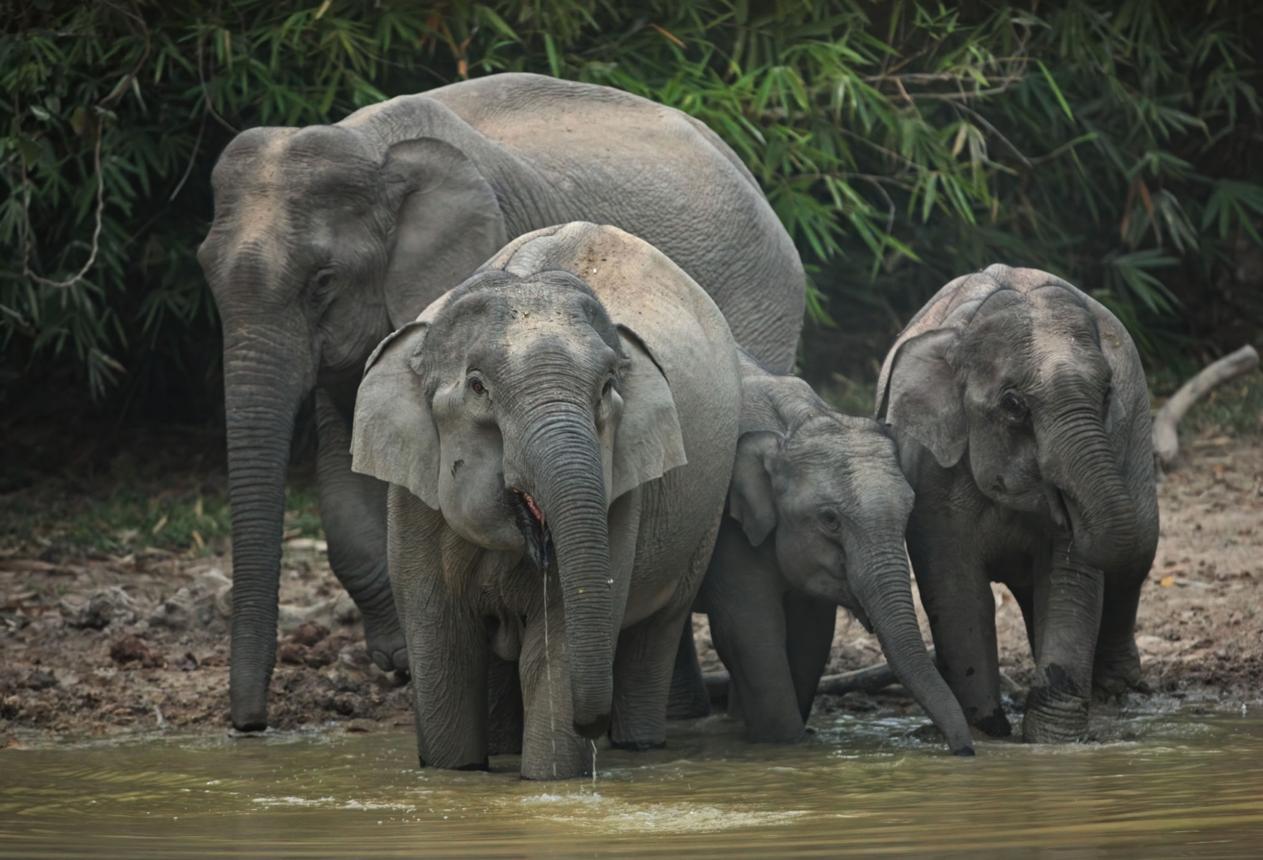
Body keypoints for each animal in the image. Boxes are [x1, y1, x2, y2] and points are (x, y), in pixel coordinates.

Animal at [349, 222, 741, 779]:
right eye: (477, 387)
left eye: (607, 389)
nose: (589, 724)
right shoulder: (411, 498)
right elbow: (442, 639)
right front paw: (455, 774)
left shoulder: (622, 492)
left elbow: (552, 645)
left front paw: (552, 777)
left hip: (704, 516)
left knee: (657, 632)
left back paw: (637, 745)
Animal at [694, 352, 974, 754]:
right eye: (829, 519)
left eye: (909, 510)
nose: (965, 751)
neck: (793, 423)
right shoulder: (727, 531)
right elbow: (748, 629)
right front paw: (786, 745)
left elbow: (812, 632)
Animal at [876, 264, 1159, 743]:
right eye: (1013, 404)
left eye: (1106, 393)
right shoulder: (932, 474)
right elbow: (957, 591)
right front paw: (989, 735)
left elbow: (1069, 582)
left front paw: (1051, 742)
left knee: (1137, 554)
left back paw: (1114, 689)